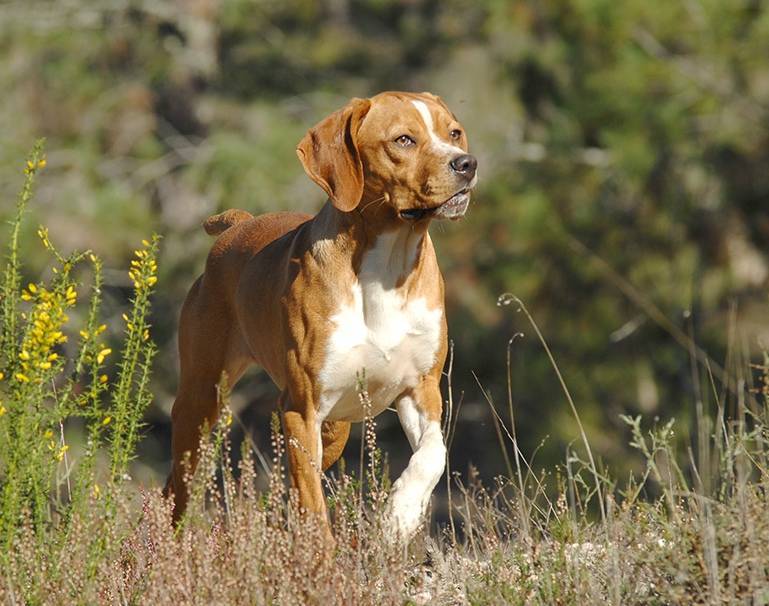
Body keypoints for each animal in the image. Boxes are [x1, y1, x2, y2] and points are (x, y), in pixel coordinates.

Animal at [164, 91, 474, 540]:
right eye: (403, 140)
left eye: (454, 133)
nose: (466, 164)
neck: (387, 268)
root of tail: (238, 225)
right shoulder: (301, 408)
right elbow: (313, 507)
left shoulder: (422, 389)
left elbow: (434, 453)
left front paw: (400, 515)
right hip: (202, 400)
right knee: (179, 483)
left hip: (335, 429)